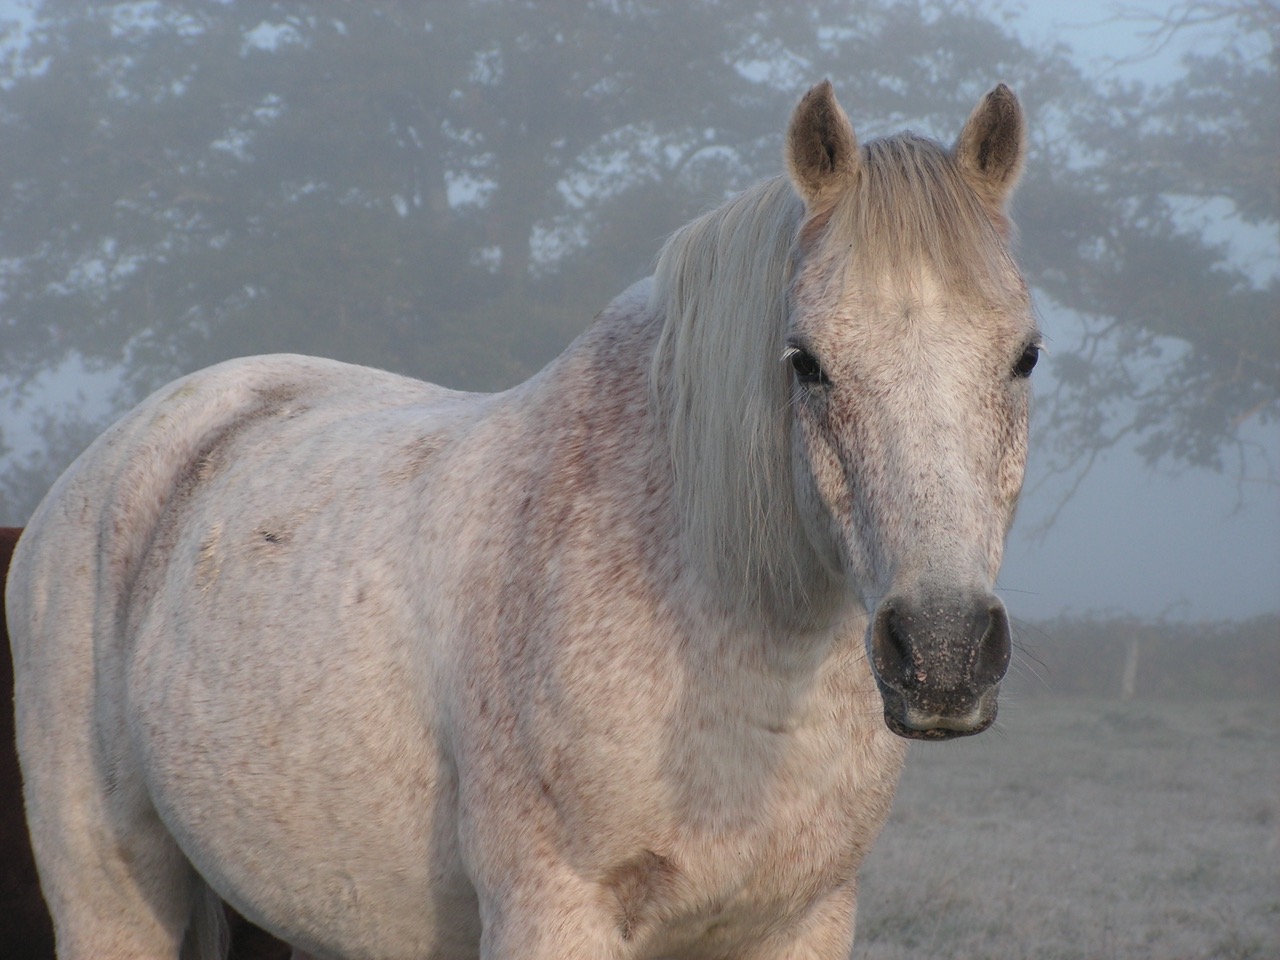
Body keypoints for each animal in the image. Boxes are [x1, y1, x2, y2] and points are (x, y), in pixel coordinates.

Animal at [10, 82, 1039, 960]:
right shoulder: (555, 912)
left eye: (1025, 354)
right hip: (112, 892)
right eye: (805, 361)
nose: (943, 652)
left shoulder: (803, 920)